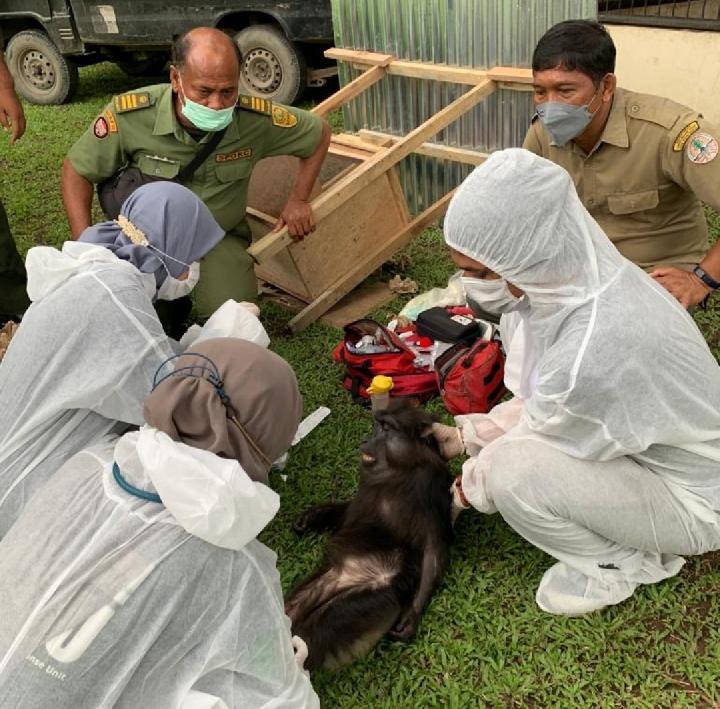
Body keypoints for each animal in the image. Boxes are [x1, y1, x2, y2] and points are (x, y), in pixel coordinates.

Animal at [284, 404, 452, 668]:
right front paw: (312, 517)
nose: (365, 440)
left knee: (316, 629)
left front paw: (412, 616)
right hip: (328, 577)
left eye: (386, 427)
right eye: (376, 425)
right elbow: (349, 513)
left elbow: (433, 550)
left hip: (371, 595)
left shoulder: (429, 488)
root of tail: (346, 577)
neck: (401, 468)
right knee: (293, 607)